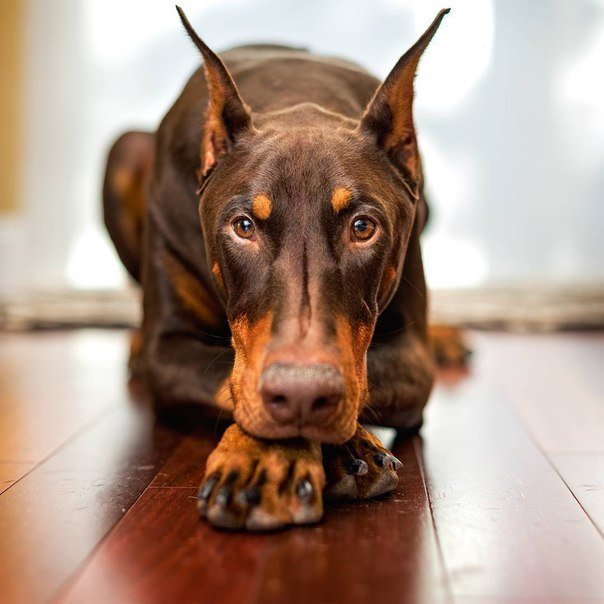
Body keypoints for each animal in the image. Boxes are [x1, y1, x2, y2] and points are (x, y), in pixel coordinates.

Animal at [102, 7, 468, 532]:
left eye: (363, 227)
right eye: (243, 226)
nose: (301, 396)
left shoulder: (411, 359)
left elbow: (362, 375)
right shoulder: (165, 351)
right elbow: (229, 377)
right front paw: (266, 457)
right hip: (125, 151)